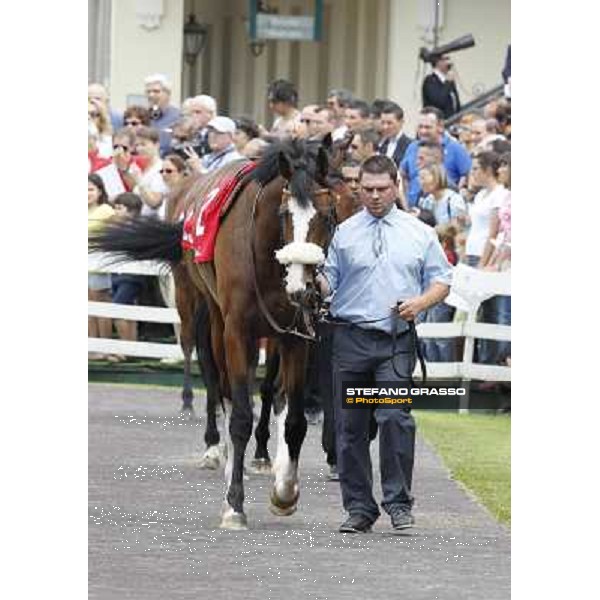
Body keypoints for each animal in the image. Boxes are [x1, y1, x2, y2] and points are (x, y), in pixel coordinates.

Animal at [90, 137, 356, 528]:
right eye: (284, 215)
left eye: (328, 214)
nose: (301, 286)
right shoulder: (237, 330)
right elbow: (241, 414)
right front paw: (234, 503)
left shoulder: (294, 336)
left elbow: (293, 418)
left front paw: (284, 492)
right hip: (204, 312)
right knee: (216, 379)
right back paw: (216, 446)